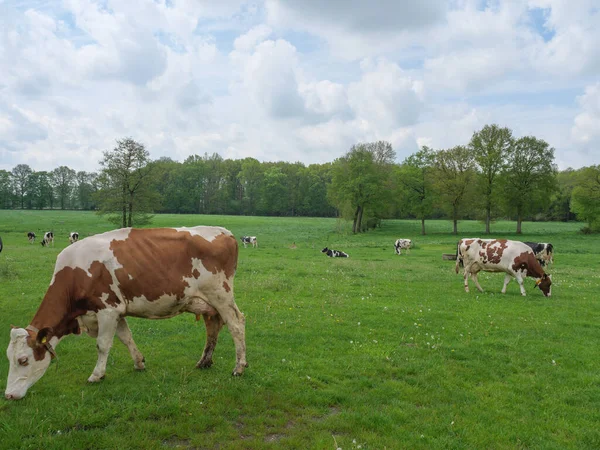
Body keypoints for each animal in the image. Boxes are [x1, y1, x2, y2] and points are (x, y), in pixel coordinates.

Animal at [5, 225, 245, 400]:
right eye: (9, 357)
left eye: (23, 360)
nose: (8, 395)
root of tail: (225, 232)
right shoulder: (117, 311)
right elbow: (126, 338)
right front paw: (139, 363)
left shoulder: (107, 309)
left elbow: (103, 345)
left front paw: (96, 375)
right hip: (207, 303)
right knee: (213, 327)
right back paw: (204, 362)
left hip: (221, 295)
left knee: (236, 325)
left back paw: (239, 368)